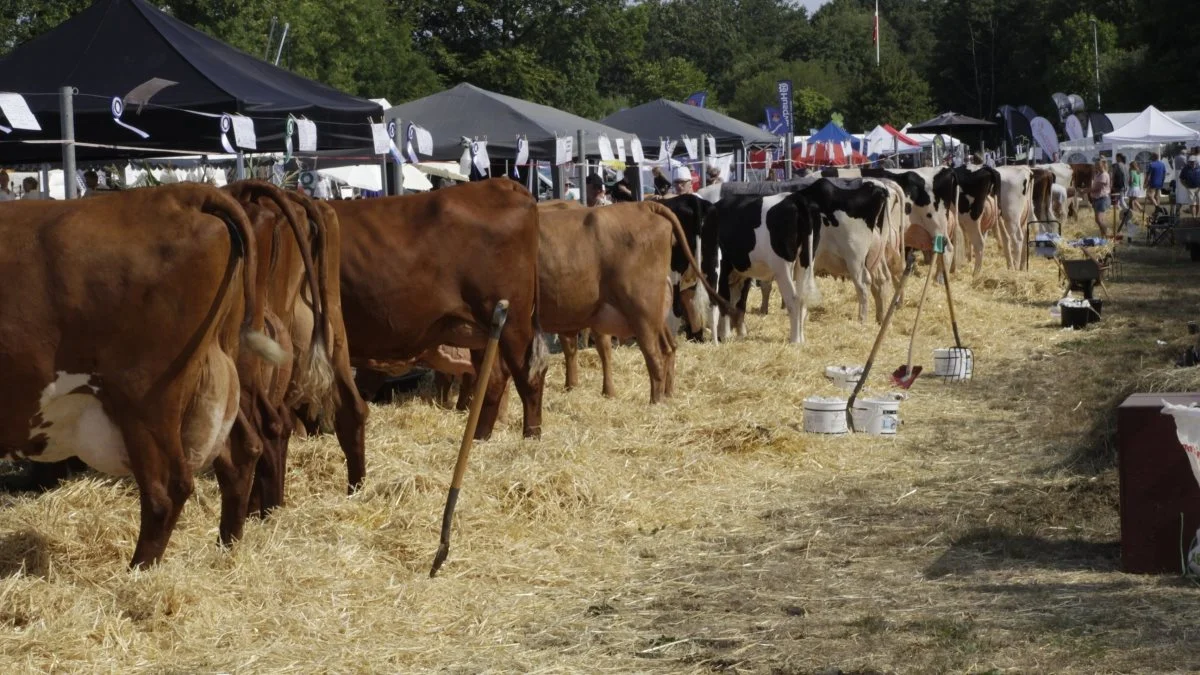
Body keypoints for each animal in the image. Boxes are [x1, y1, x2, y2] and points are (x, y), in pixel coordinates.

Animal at [0, 181, 284, 564]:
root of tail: (182, 193)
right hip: (222, 373)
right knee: (242, 453)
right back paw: (226, 550)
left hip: (144, 399)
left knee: (166, 489)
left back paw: (140, 570)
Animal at [333, 177, 549, 437]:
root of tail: (502, 183)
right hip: (483, 332)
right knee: (494, 379)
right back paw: (480, 436)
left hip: (513, 323)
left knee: (529, 374)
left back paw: (531, 434)